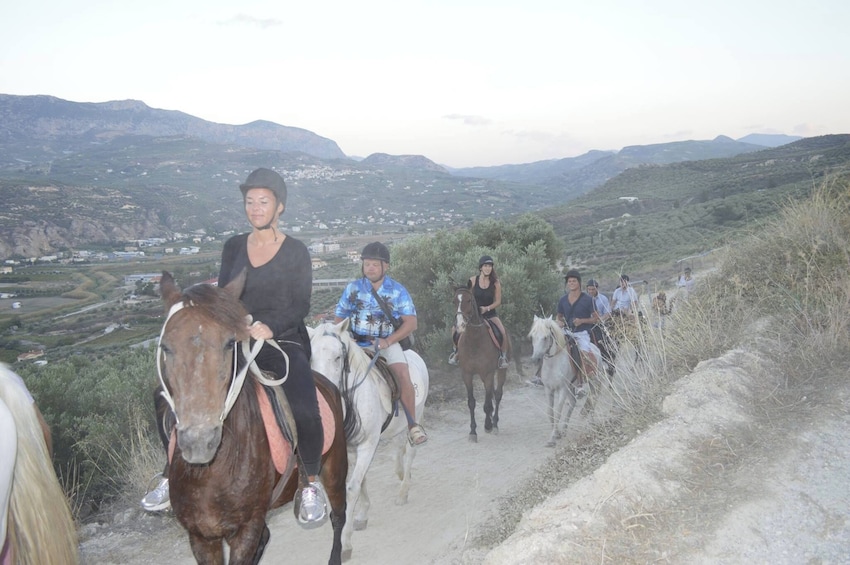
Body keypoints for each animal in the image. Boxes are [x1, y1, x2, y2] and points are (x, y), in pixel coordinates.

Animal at [157, 270, 346, 560]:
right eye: (166, 347)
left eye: (229, 344)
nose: (199, 442)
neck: (211, 473)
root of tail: (326, 383)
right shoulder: (200, 537)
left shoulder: (246, 528)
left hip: (335, 469)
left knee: (339, 516)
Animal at [308, 320, 428, 560]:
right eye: (311, 357)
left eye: (338, 357)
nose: (322, 394)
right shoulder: (350, 448)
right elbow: (361, 481)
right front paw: (362, 515)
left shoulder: (367, 445)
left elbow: (352, 488)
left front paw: (345, 542)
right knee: (398, 448)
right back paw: (402, 475)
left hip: (417, 415)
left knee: (410, 451)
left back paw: (403, 491)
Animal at [450, 286, 510, 440]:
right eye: (454, 301)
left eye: (469, 300)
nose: (460, 325)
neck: (474, 341)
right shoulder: (467, 374)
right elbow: (471, 402)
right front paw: (473, 431)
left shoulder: (488, 373)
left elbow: (487, 403)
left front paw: (488, 425)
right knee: (493, 394)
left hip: (500, 370)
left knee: (498, 394)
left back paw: (494, 423)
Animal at [528, 316, 600, 448]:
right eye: (532, 337)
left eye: (545, 337)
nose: (535, 359)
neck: (553, 364)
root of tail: (596, 349)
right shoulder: (549, 389)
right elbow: (550, 411)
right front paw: (556, 433)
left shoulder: (562, 388)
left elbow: (558, 411)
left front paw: (552, 438)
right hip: (571, 387)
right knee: (573, 402)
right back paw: (565, 429)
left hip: (594, 381)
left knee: (593, 398)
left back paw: (592, 423)